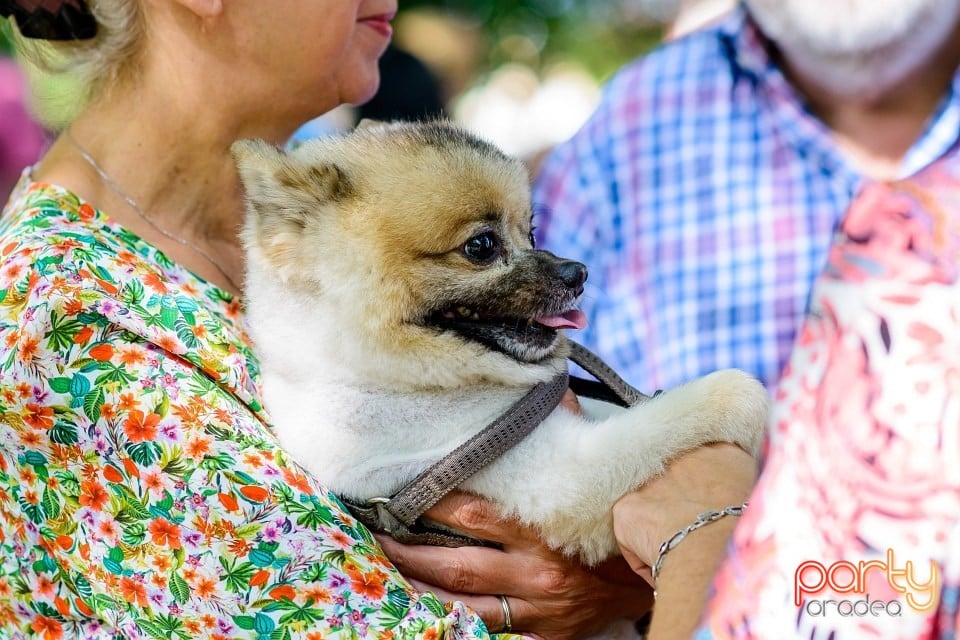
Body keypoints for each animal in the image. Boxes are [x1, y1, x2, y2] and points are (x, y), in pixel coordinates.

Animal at [229, 122, 768, 568]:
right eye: (482, 246)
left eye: (531, 231)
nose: (578, 272)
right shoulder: (555, 474)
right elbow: (677, 413)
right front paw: (750, 400)